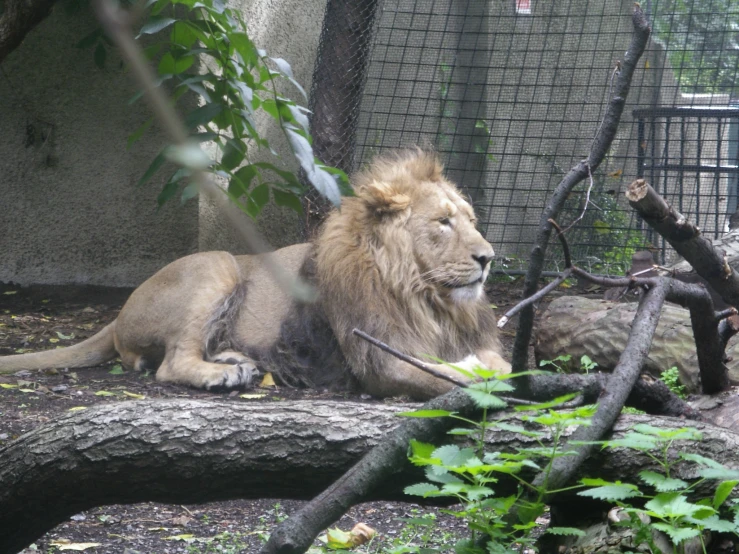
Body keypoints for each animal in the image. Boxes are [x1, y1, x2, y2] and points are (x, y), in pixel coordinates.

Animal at [0, 149, 508, 398]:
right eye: (443, 222)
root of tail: (119, 315)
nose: (488, 257)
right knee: (168, 364)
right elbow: (450, 378)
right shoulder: (381, 360)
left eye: (472, 219)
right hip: (218, 263)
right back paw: (221, 376)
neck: (427, 299)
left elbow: (496, 366)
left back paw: (235, 362)